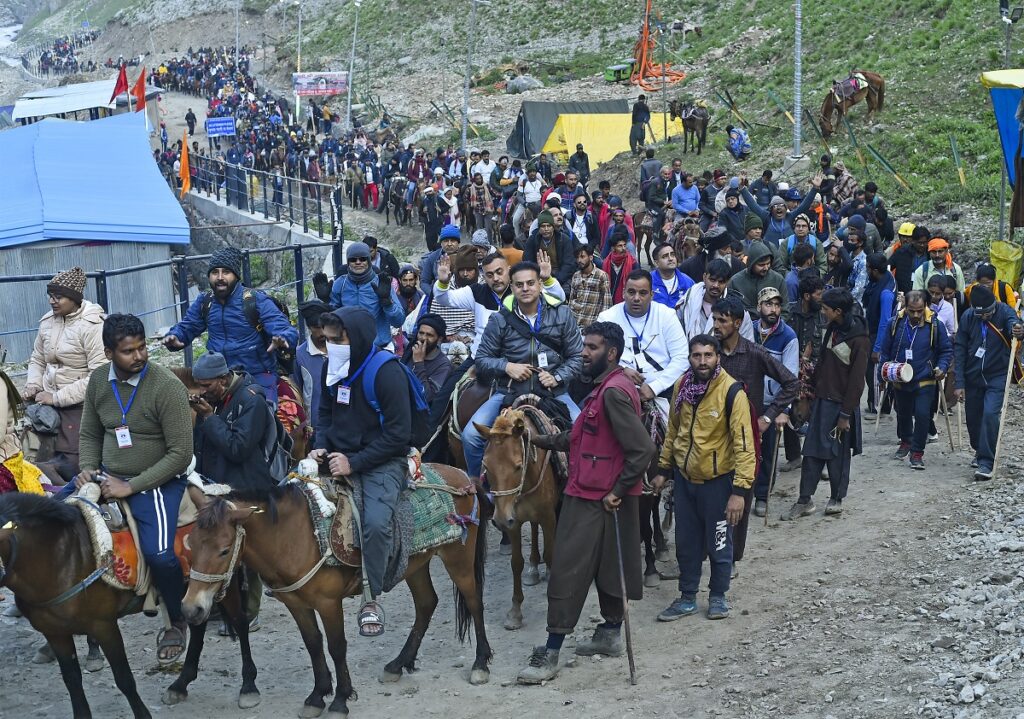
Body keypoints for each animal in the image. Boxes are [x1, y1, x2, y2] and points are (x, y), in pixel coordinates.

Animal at [0, 495, 260, 719]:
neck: (61, 558)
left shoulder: (104, 626)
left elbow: (124, 678)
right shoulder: (55, 633)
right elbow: (72, 680)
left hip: (222, 583)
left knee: (240, 622)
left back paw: (248, 687)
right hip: (195, 594)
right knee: (198, 625)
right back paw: (180, 685)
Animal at [183, 467, 491, 719]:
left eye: (224, 550)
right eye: (191, 544)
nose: (190, 608)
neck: (295, 536)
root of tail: (463, 476)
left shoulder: (328, 603)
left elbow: (336, 646)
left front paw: (341, 699)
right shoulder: (297, 603)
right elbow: (313, 644)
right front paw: (317, 695)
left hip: (458, 557)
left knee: (474, 602)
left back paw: (480, 664)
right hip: (414, 564)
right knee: (427, 603)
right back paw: (397, 664)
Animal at [473, 407, 561, 635]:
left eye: (518, 466)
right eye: (486, 465)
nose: (499, 519)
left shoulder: (548, 517)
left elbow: (551, 554)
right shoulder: (513, 522)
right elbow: (516, 563)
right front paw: (515, 613)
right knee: (533, 529)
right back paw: (533, 567)